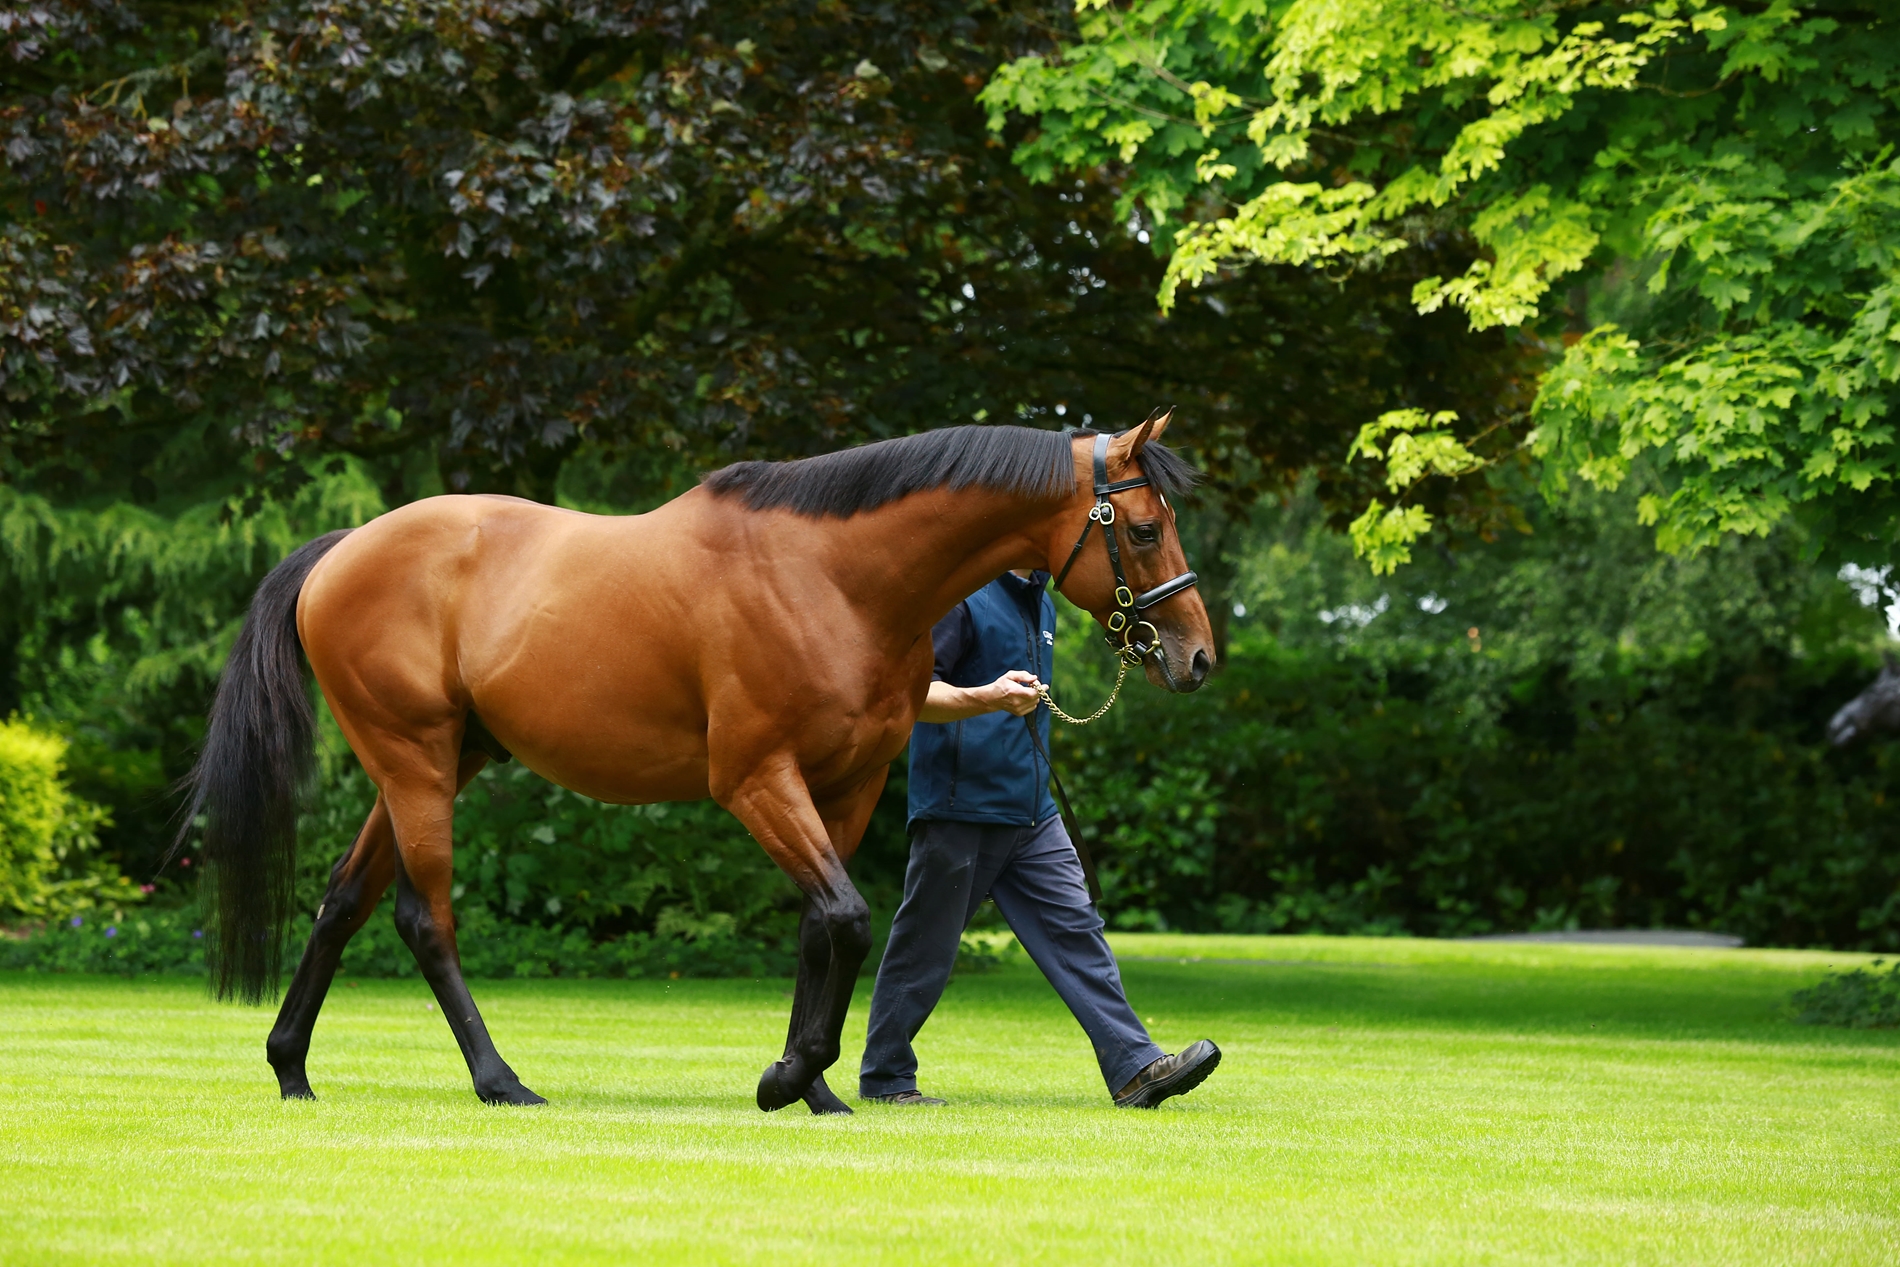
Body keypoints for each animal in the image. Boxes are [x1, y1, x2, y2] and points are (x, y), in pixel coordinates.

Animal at [181, 414, 1216, 1109]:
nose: (1198, 656)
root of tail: (342, 550)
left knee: (342, 901)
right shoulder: (755, 779)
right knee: (420, 916)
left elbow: (822, 926)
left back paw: (290, 1066)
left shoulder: (846, 787)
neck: (835, 577)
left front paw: (815, 1088)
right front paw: (787, 1076)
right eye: (1144, 526)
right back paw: (500, 1079)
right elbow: (847, 915)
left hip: (436, 762)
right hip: (416, 762)